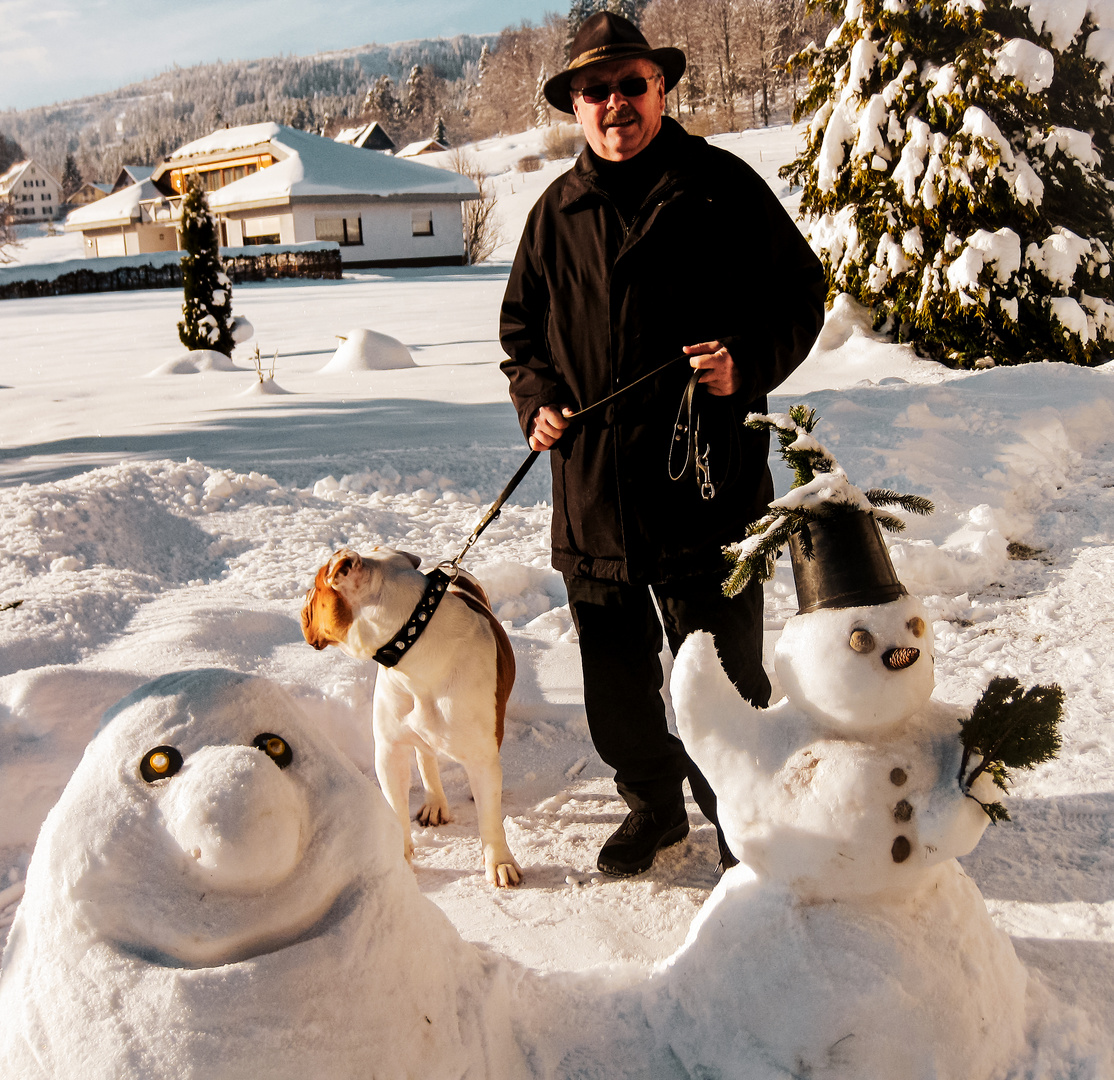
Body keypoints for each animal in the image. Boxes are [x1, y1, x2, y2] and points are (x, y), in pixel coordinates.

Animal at [298, 548, 519, 887]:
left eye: (316, 585)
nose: (305, 597)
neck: (414, 644)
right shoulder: (390, 751)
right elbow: (396, 807)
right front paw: (399, 855)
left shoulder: (482, 755)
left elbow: (491, 819)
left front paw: (500, 862)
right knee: (426, 757)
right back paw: (435, 802)